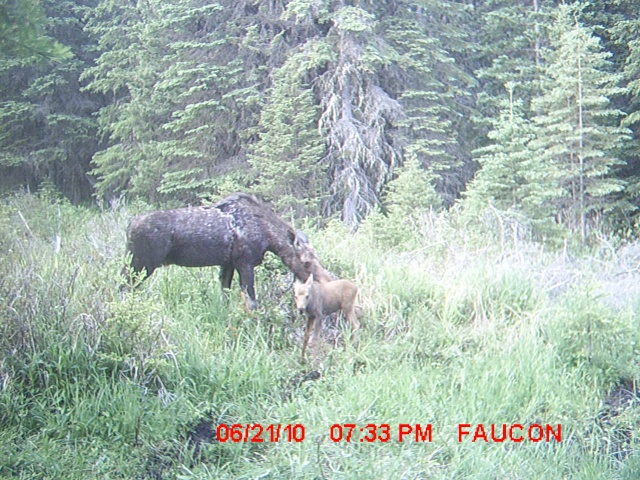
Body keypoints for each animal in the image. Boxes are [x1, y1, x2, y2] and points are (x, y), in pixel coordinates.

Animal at [123, 191, 318, 308]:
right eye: (307, 261)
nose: (315, 282)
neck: (268, 237)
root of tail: (129, 227)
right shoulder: (244, 263)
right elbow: (251, 301)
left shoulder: (227, 264)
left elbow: (225, 294)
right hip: (142, 263)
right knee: (124, 287)